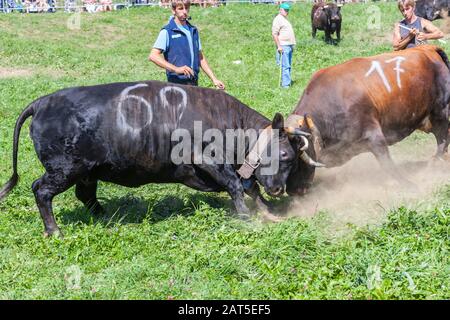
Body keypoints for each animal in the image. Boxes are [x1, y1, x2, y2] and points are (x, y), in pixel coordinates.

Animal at [0, 80, 308, 235]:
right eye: (284, 154)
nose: (279, 189)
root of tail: (42, 102)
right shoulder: (206, 158)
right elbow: (235, 185)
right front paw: (246, 216)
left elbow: (250, 186)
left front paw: (269, 212)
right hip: (65, 169)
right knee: (41, 190)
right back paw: (54, 231)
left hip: (87, 171)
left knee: (84, 195)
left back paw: (106, 217)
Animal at [284, 45, 450, 195]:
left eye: (292, 160)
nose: (291, 191)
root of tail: (429, 48)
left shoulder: (374, 136)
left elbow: (387, 164)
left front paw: (409, 185)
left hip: (441, 112)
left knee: (443, 138)